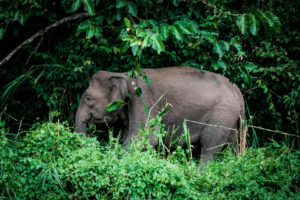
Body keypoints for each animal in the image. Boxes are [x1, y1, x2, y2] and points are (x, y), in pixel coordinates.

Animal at [75, 65, 246, 164]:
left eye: (88, 98)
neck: (122, 74)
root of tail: (237, 90)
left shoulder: (143, 101)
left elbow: (146, 138)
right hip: (230, 119)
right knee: (231, 145)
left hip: (221, 115)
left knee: (209, 145)